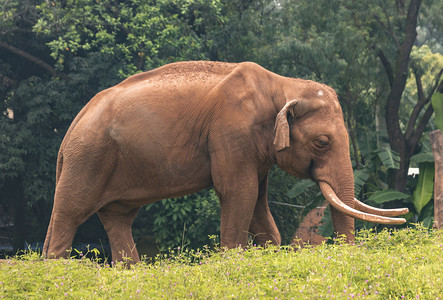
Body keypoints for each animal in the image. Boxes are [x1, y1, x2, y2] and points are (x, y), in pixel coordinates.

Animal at [42, 60, 410, 262]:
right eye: (322, 143)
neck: (281, 84)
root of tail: (69, 131)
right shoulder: (231, 132)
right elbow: (240, 193)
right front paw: (235, 261)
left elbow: (259, 203)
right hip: (88, 158)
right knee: (70, 214)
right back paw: (56, 271)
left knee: (117, 218)